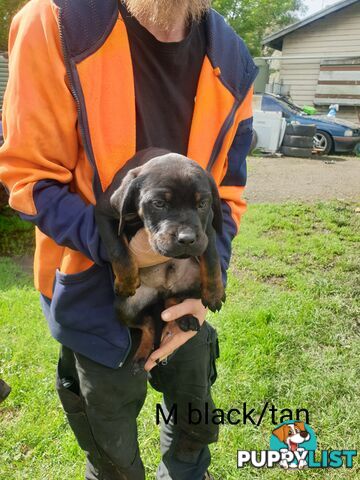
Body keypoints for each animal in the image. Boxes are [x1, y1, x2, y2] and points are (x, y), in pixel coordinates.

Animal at [95, 149, 225, 372]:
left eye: (202, 204)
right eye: (159, 204)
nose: (187, 239)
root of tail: (160, 291)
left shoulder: (206, 228)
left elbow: (211, 258)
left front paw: (215, 293)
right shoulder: (104, 214)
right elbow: (118, 249)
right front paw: (127, 281)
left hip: (193, 283)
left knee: (172, 300)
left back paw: (185, 319)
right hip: (124, 308)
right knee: (148, 323)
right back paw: (141, 355)